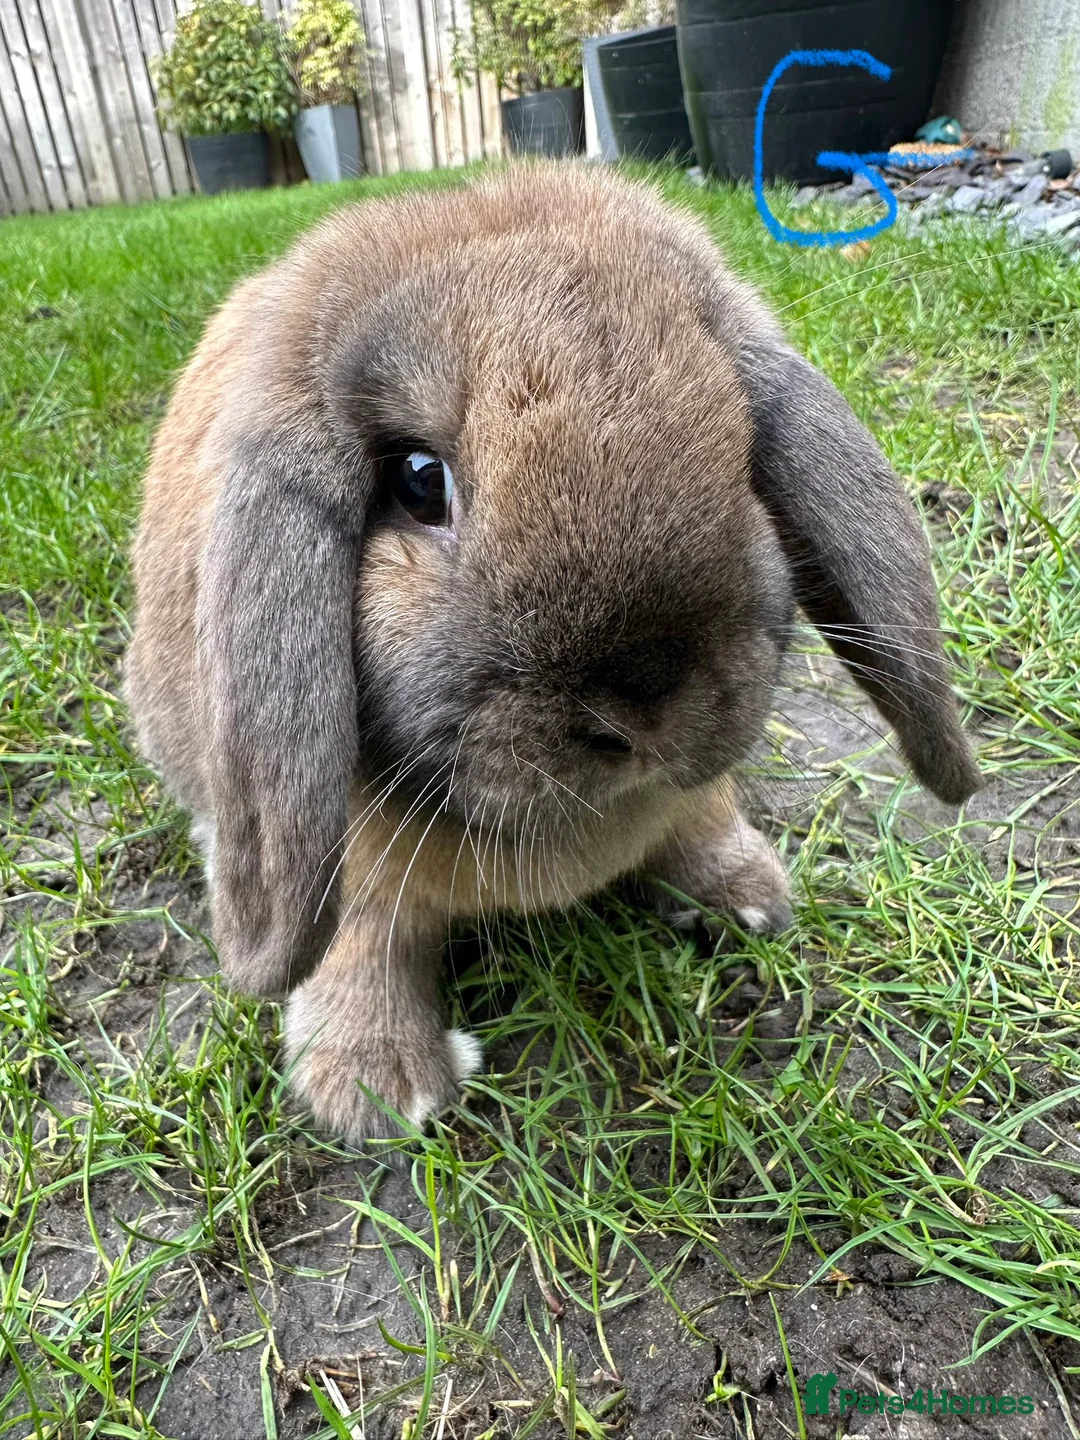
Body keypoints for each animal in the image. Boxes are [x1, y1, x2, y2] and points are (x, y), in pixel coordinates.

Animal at [126, 164, 980, 1143]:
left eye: (738, 450)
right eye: (418, 481)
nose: (648, 715)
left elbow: (698, 816)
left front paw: (749, 895)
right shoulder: (352, 885)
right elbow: (360, 944)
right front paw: (378, 1087)